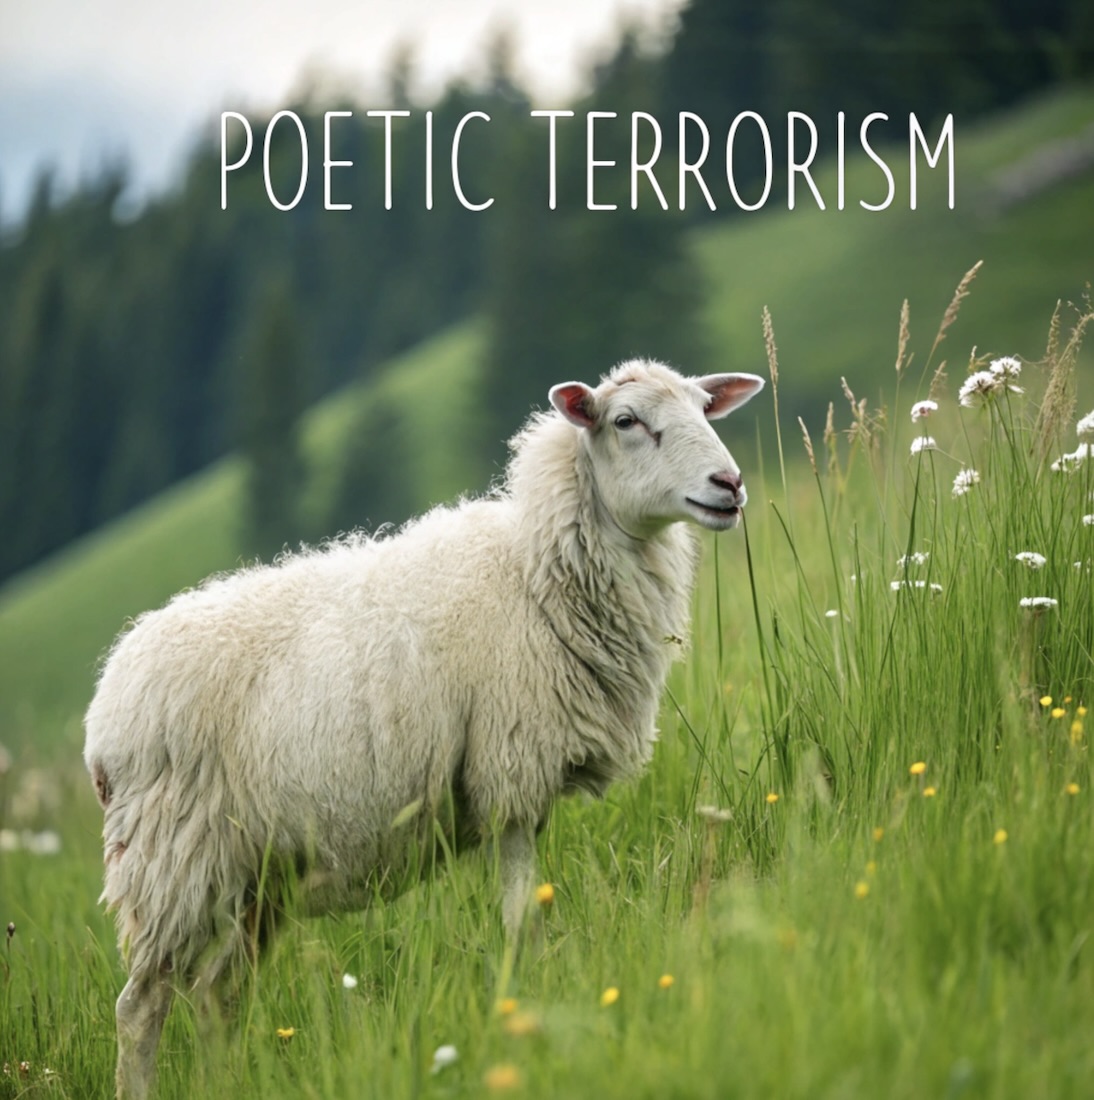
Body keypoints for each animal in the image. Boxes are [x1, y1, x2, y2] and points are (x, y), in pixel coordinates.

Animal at [84, 358, 764, 1098]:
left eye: (704, 407)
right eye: (626, 421)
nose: (729, 485)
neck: (534, 569)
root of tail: (104, 711)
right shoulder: (510, 770)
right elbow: (522, 920)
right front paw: (528, 1008)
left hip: (258, 873)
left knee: (215, 993)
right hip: (172, 861)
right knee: (141, 1005)